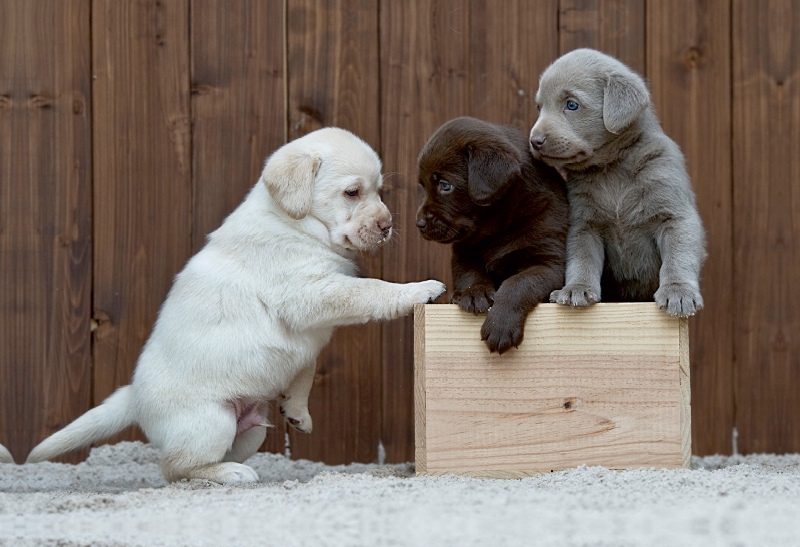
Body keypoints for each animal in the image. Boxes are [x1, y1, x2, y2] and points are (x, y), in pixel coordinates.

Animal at [28, 128, 446, 484]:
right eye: (352, 192)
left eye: (379, 191)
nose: (387, 226)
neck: (298, 223)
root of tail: (133, 394)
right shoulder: (311, 294)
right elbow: (371, 291)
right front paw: (420, 289)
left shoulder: (309, 330)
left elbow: (306, 368)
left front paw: (298, 411)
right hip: (211, 421)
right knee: (174, 467)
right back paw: (229, 474)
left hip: (249, 433)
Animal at [532, 50, 708, 322]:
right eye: (540, 107)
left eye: (571, 104)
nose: (534, 140)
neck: (613, 168)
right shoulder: (584, 224)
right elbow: (582, 258)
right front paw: (576, 289)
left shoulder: (674, 212)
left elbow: (678, 255)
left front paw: (678, 292)